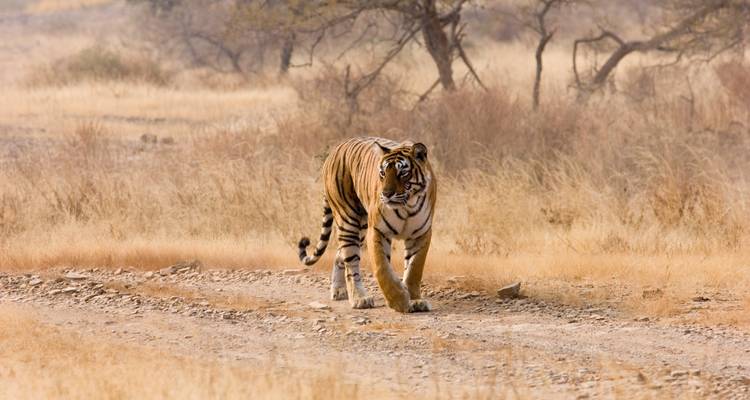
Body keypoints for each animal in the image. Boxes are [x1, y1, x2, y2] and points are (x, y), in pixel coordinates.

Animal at [297, 137, 436, 313]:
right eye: (382, 173)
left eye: (403, 173)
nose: (386, 194)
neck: (407, 206)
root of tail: (336, 148)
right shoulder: (377, 231)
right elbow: (382, 268)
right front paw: (399, 301)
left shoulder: (421, 234)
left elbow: (414, 269)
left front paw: (415, 300)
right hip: (348, 220)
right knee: (350, 263)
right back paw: (359, 299)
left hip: (361, 228)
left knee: (340, 255)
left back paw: (339, 291)